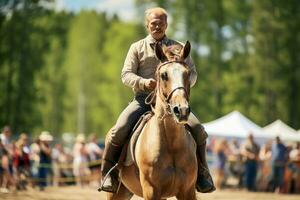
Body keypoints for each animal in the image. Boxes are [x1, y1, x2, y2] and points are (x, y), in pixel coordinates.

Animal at [106, 41, 198, 199]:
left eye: (187, 73)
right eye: (164, 75)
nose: (182, 110)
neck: (171, 143)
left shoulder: (188, 191)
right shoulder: (151, 190)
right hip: (115, 194)